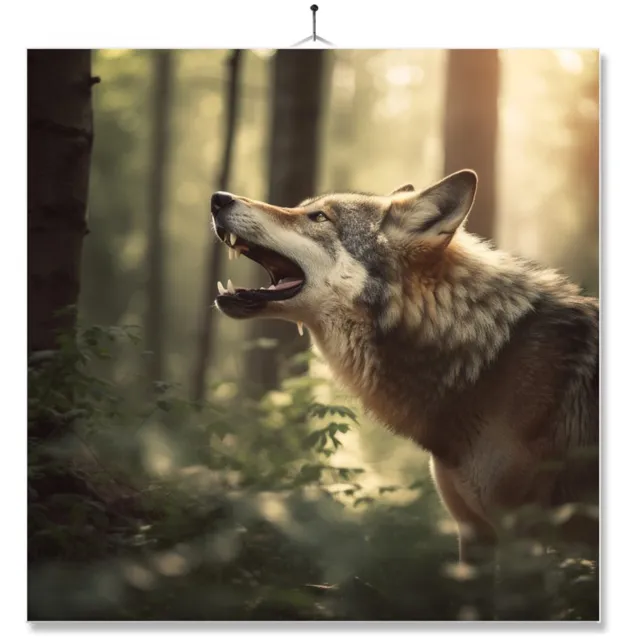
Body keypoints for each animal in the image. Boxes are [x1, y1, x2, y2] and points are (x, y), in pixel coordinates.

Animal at [210, 169, 599, 569]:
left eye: (318, 217)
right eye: (304, 209)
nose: (218, 198)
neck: (487, 354)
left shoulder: (521, 543)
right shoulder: (472, 532)